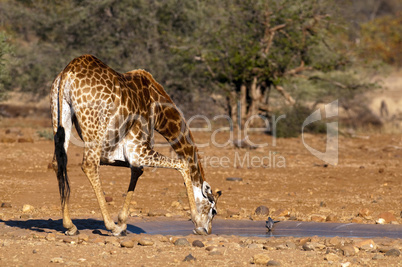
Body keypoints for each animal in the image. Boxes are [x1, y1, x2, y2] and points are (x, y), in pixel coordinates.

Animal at [50, 54, 221, 237]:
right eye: (213, 211)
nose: (207, 230)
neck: (158, 111)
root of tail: (68, 73)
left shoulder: (119, 155)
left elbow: (137, 171)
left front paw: (123, 223)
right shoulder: (138, 149)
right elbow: (183, 164)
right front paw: (196, 220)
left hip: (60, 115)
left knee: (58, 162)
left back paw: (70, 226)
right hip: (92, 129)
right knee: (89, 165)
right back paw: (110, 226)